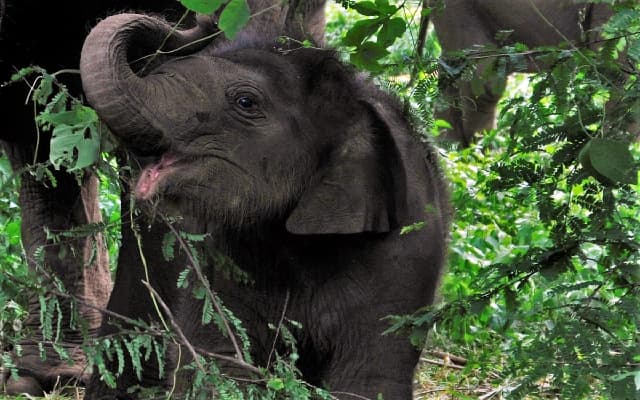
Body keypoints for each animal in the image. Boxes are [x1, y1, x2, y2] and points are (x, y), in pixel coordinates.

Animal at [79, 12, 450, 399]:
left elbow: (368, 379)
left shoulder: (407, 256)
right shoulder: (222, 257)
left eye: (246, 102)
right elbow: (220, 361)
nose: (203, 20)